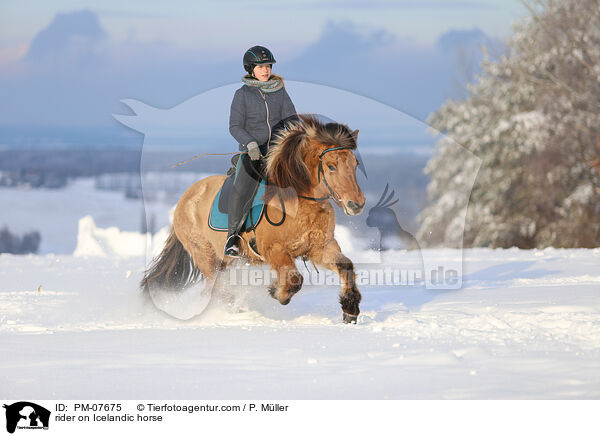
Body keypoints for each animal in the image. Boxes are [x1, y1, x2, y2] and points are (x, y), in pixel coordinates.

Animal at [141, 116, 366, 324]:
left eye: (355, 164)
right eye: (331, 166)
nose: (356, 204)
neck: (299, 202)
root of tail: (186, 198)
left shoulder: (319, 248)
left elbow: (346, 266)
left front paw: (350, 310)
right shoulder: (274, 250)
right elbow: (294, 279)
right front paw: (277, 292)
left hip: (223, 261)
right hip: (204, 255)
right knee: (214, 288)